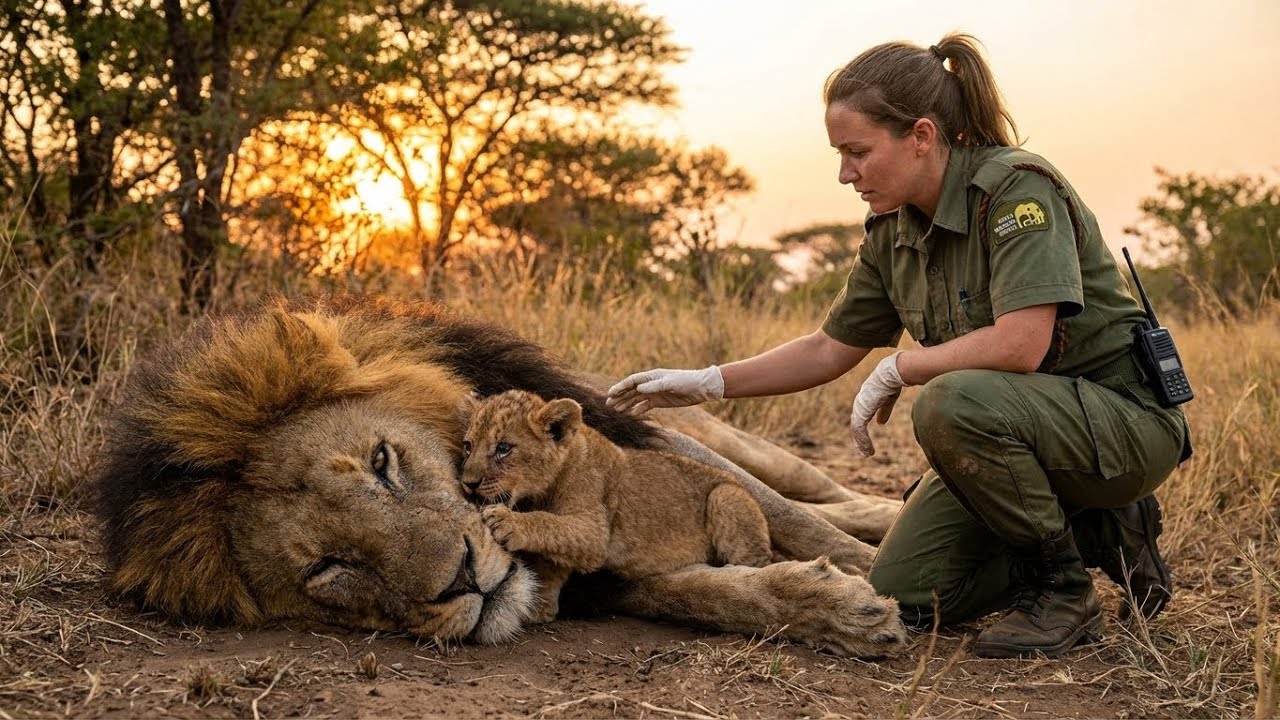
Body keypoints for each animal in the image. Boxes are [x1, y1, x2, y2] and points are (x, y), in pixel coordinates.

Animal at [459, 390, 773, 623]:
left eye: (503, 448)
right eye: (468, 446)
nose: (468, 483)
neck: (546, 488)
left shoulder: (594, 530)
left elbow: (549, 523)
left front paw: (506, 522)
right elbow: (553, 559)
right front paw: (541, 606)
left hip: (725, 496)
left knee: (758, 561)